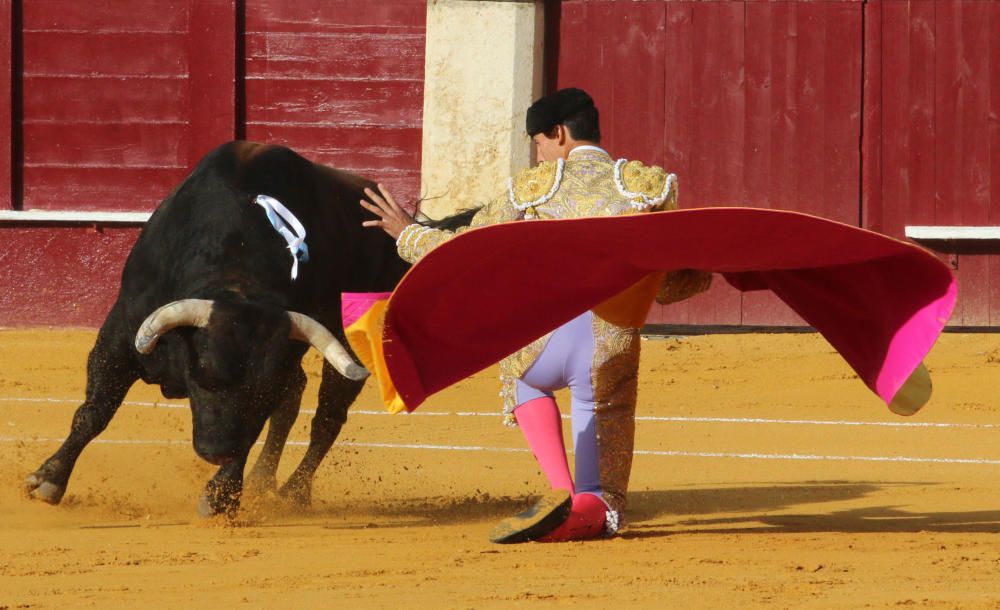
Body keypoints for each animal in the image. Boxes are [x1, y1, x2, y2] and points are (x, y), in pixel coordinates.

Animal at [23, 141, 414, 512]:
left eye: (260, 392)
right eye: (205, 377)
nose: (217, 452)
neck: (236, 276)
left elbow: (256, 426)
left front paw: (219, 496)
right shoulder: (120, 334)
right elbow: (94, 410)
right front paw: (49, 479)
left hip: (350, 347)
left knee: (327, 418)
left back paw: (293, 492)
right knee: (295, 399)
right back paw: (262, 480)